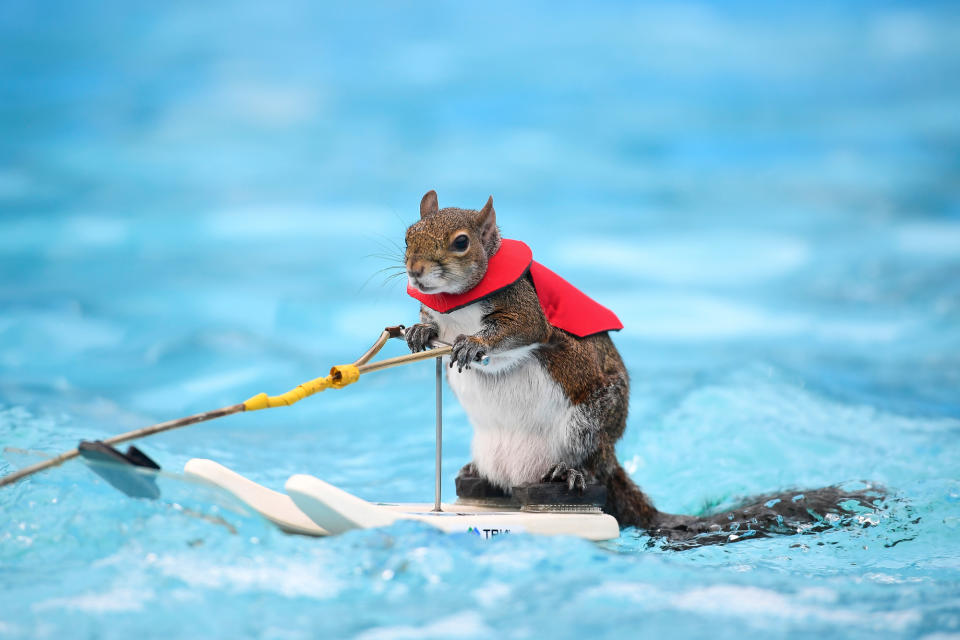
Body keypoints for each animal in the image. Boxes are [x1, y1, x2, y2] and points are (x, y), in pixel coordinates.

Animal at [402, 190, 880, 544]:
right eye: (409, 234)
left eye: (461, 242)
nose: (415, 271)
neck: (457, 304)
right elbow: (431, 328)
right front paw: (420, 333)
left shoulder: (525, 309)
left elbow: (518, 333)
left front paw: (473, 345)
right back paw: (475, 476)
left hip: (588, 425)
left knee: (590, 464)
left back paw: (570, 472)